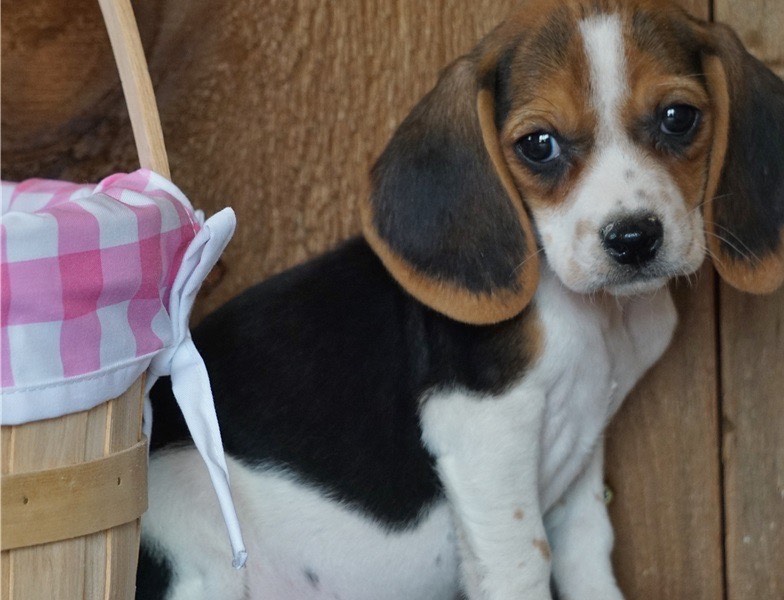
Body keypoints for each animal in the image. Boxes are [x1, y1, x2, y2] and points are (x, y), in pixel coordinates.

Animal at [136, 1, 784, 600]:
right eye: (538, 145)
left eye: (679, 117)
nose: (633, 238)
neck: (593, 315)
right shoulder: (481, 431)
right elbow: (524, 560)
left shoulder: (584, 445)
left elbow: (587, 551)